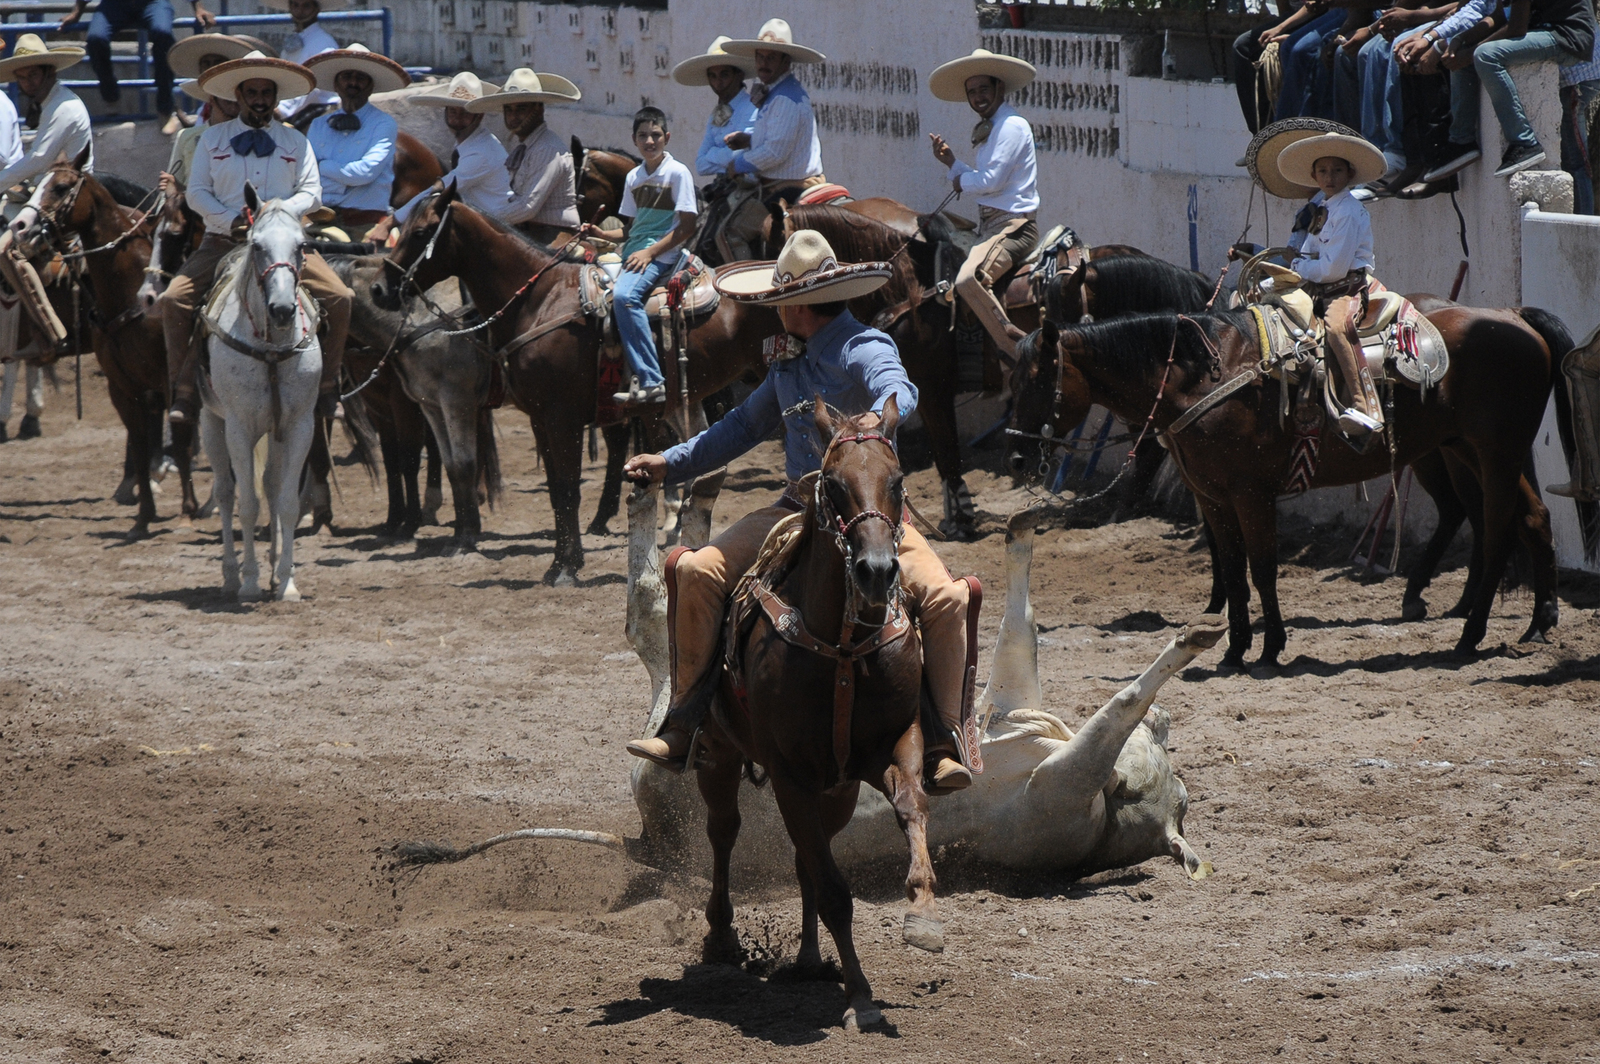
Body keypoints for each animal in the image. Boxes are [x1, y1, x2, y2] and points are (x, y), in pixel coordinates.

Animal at [17, 152, 203, 538]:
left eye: (61, 187)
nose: (21, 226)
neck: (129, 293)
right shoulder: (122, 387)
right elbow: (139, 442)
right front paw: (143, 516)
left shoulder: (169, 379)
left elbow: (177, 440)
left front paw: (187, 511)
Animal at [198, 187, 321, 602]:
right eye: (257, 245)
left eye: (302, 245)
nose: (282, 309)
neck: (271, 349)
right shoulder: (239, 428)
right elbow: (247, 504)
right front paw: (250, 582)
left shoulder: (299, 427)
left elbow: (285, 501)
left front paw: (286, 582)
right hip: (210, 422)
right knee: (224, 492)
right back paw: (232, 576)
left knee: (269, 486)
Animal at [371, 184, 778, 585]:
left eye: (421, 232)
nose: (379, 289)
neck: (540, 301)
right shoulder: (538, 419)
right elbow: (556, 491)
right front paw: (558, 564)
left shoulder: (560, 417)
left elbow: (568, 487)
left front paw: (567, 568)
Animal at [696, 397, 940, 1032]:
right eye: (832, 484)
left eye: (897, 481)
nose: (877, 570)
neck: (842, 649)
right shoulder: (790, 775)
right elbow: (834, 891)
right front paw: (862, 998)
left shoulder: (894, 743)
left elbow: (912, 807)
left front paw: (923, 913)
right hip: (720, 753)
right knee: (724, 831)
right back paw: (722, 939)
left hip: (837, 790)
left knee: (807, 858)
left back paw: (809, 960)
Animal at [1009, 307, 1568, 666]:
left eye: (1037, 379)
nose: (1016, 455)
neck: (1208, 378)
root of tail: (1516, 317)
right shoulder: (1214, 498)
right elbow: (1233, 572)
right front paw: (1234, 650)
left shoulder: (1250, 494)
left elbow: (1261, 570)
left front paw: (1270, 647)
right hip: (1470, 452)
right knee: (1532, 519)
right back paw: (1539, 622)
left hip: (1492, 455)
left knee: (1496, 532)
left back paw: (1471, 635)